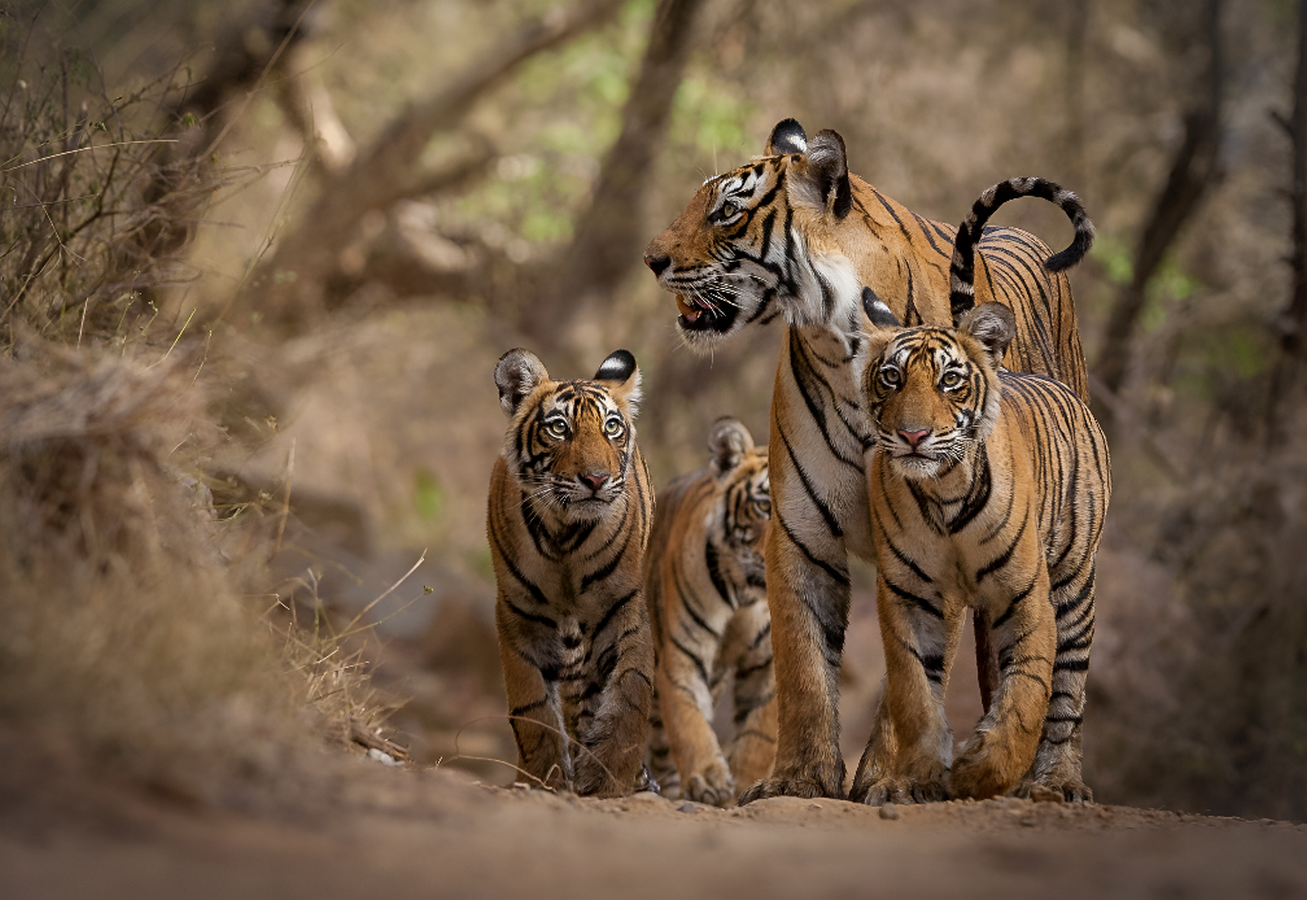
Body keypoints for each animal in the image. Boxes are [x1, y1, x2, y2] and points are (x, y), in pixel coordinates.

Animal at [486, 347, 655, 798]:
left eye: (611, 427)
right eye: (559, 428)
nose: (596, 479)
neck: (565, 535)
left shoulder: (623, 608)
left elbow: (629, 691)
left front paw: (609, 776)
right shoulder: (518, 617)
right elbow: (533, 707)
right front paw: (544, 777)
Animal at [643, 417, 775, 806]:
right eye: (763, 505)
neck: (747, 596)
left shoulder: (768, 664)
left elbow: (759, 736)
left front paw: (742, 785)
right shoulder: (683, 653)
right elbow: (690, 722)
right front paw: (709, 780)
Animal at [851, 293, 1109, 804]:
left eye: (949, 380)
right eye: (892, 377)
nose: (913, 435)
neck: (944, 491)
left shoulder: (1026, 596)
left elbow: (1027, 695)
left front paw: (980, 773)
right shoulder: (911, 596)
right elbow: (915, 694)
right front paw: (915, 780)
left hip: (1074, 586)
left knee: (1067, 695)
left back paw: (1059, 781)